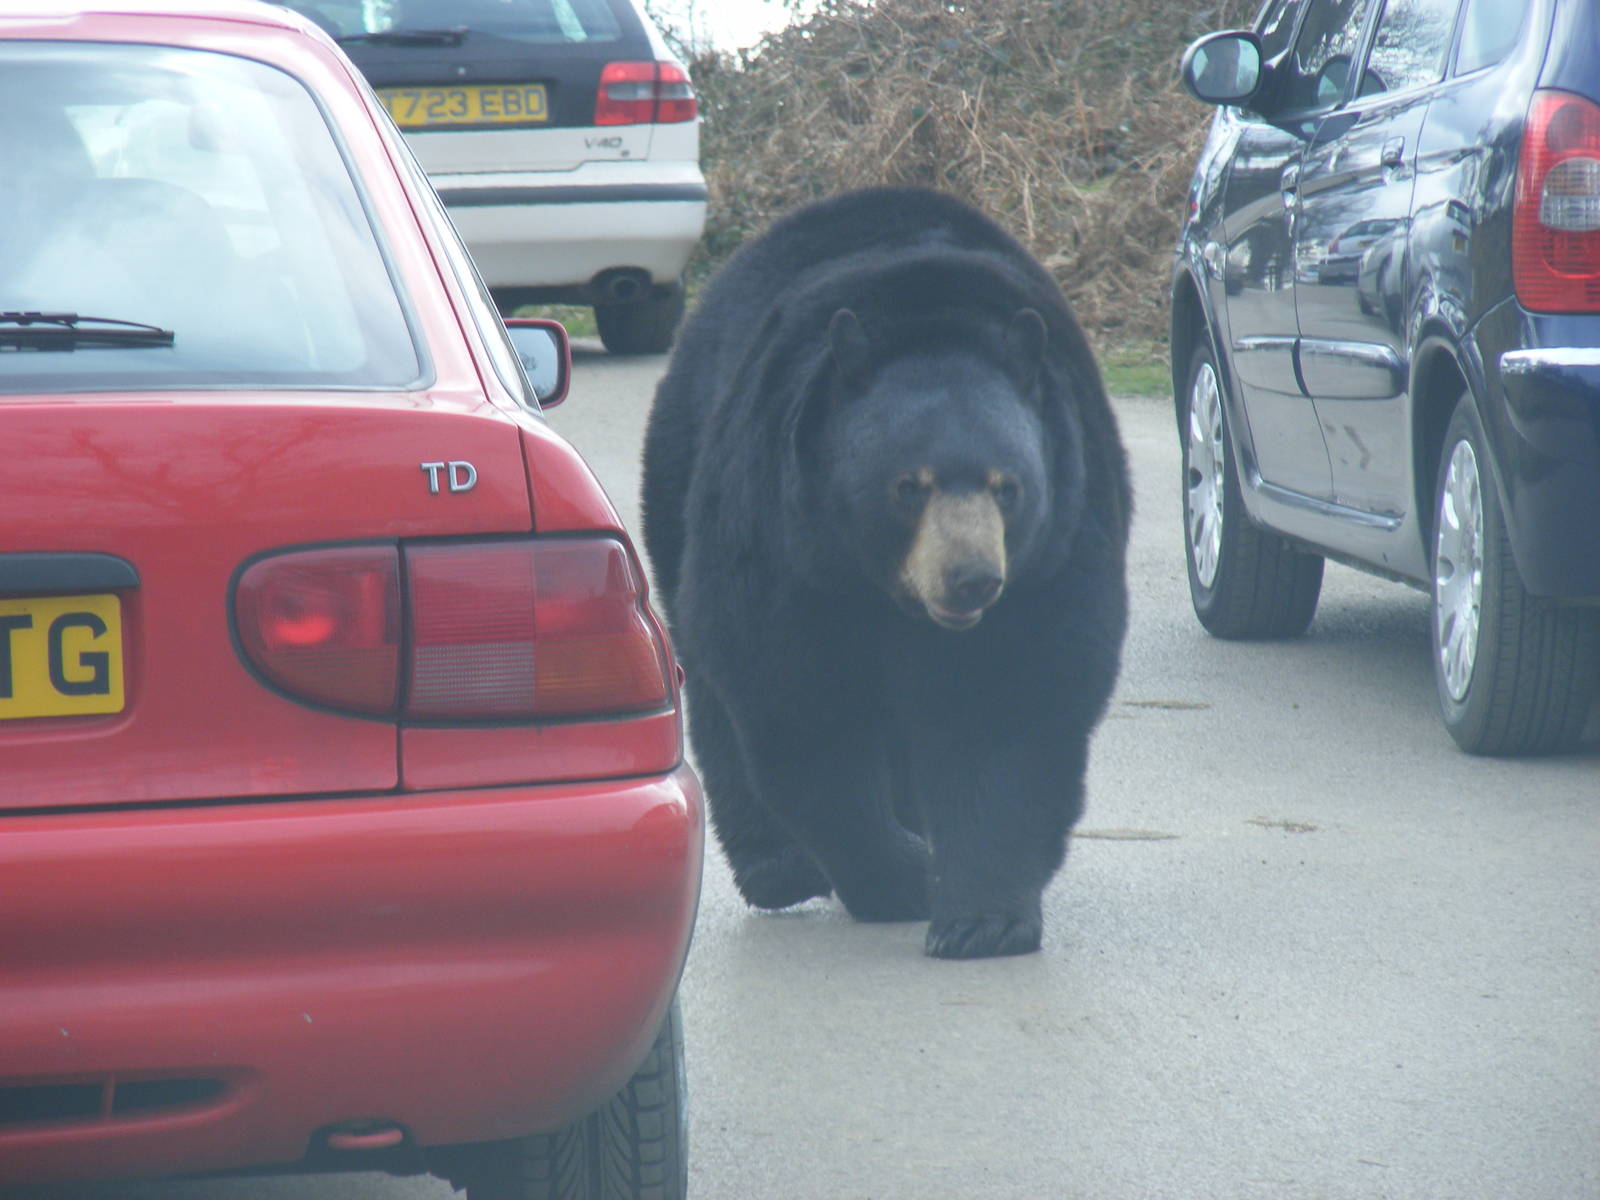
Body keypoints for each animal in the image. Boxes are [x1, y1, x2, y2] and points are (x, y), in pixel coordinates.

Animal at [641, 187, 1130, 959]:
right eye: (909, 486)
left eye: (1008, 486)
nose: (971, 578)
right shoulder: (786, 543)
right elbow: (802, 705)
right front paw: (901, 877)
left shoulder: (1059, 540)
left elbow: (1011, 698)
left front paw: (981, 918)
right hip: (683, 479)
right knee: (713, 684)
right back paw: (779, 866)